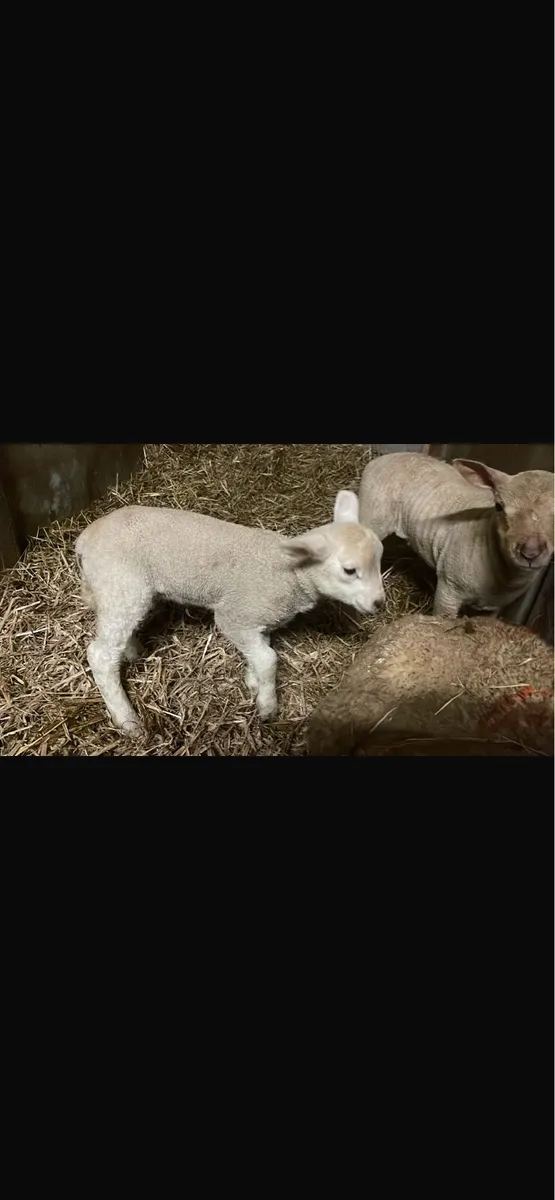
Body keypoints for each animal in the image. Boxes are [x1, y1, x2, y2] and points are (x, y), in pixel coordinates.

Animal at [75, 491, 385, 736]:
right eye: (349, 570)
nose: (379, 603)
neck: (291, 575)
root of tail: (86, 537)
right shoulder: (235, 616)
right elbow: (269, 659)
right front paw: (267, 706)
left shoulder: (256, 621)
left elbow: (260, 652)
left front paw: (253, 681)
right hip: (123, 584)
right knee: (100, 655)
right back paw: (128, 721)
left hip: (118, 590)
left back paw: (131, 651)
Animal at [358, 452, 554, 618]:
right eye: (499, 506)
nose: (530, 552)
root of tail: (382, 458)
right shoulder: (449, 588)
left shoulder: (494, 608)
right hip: (372, 515)